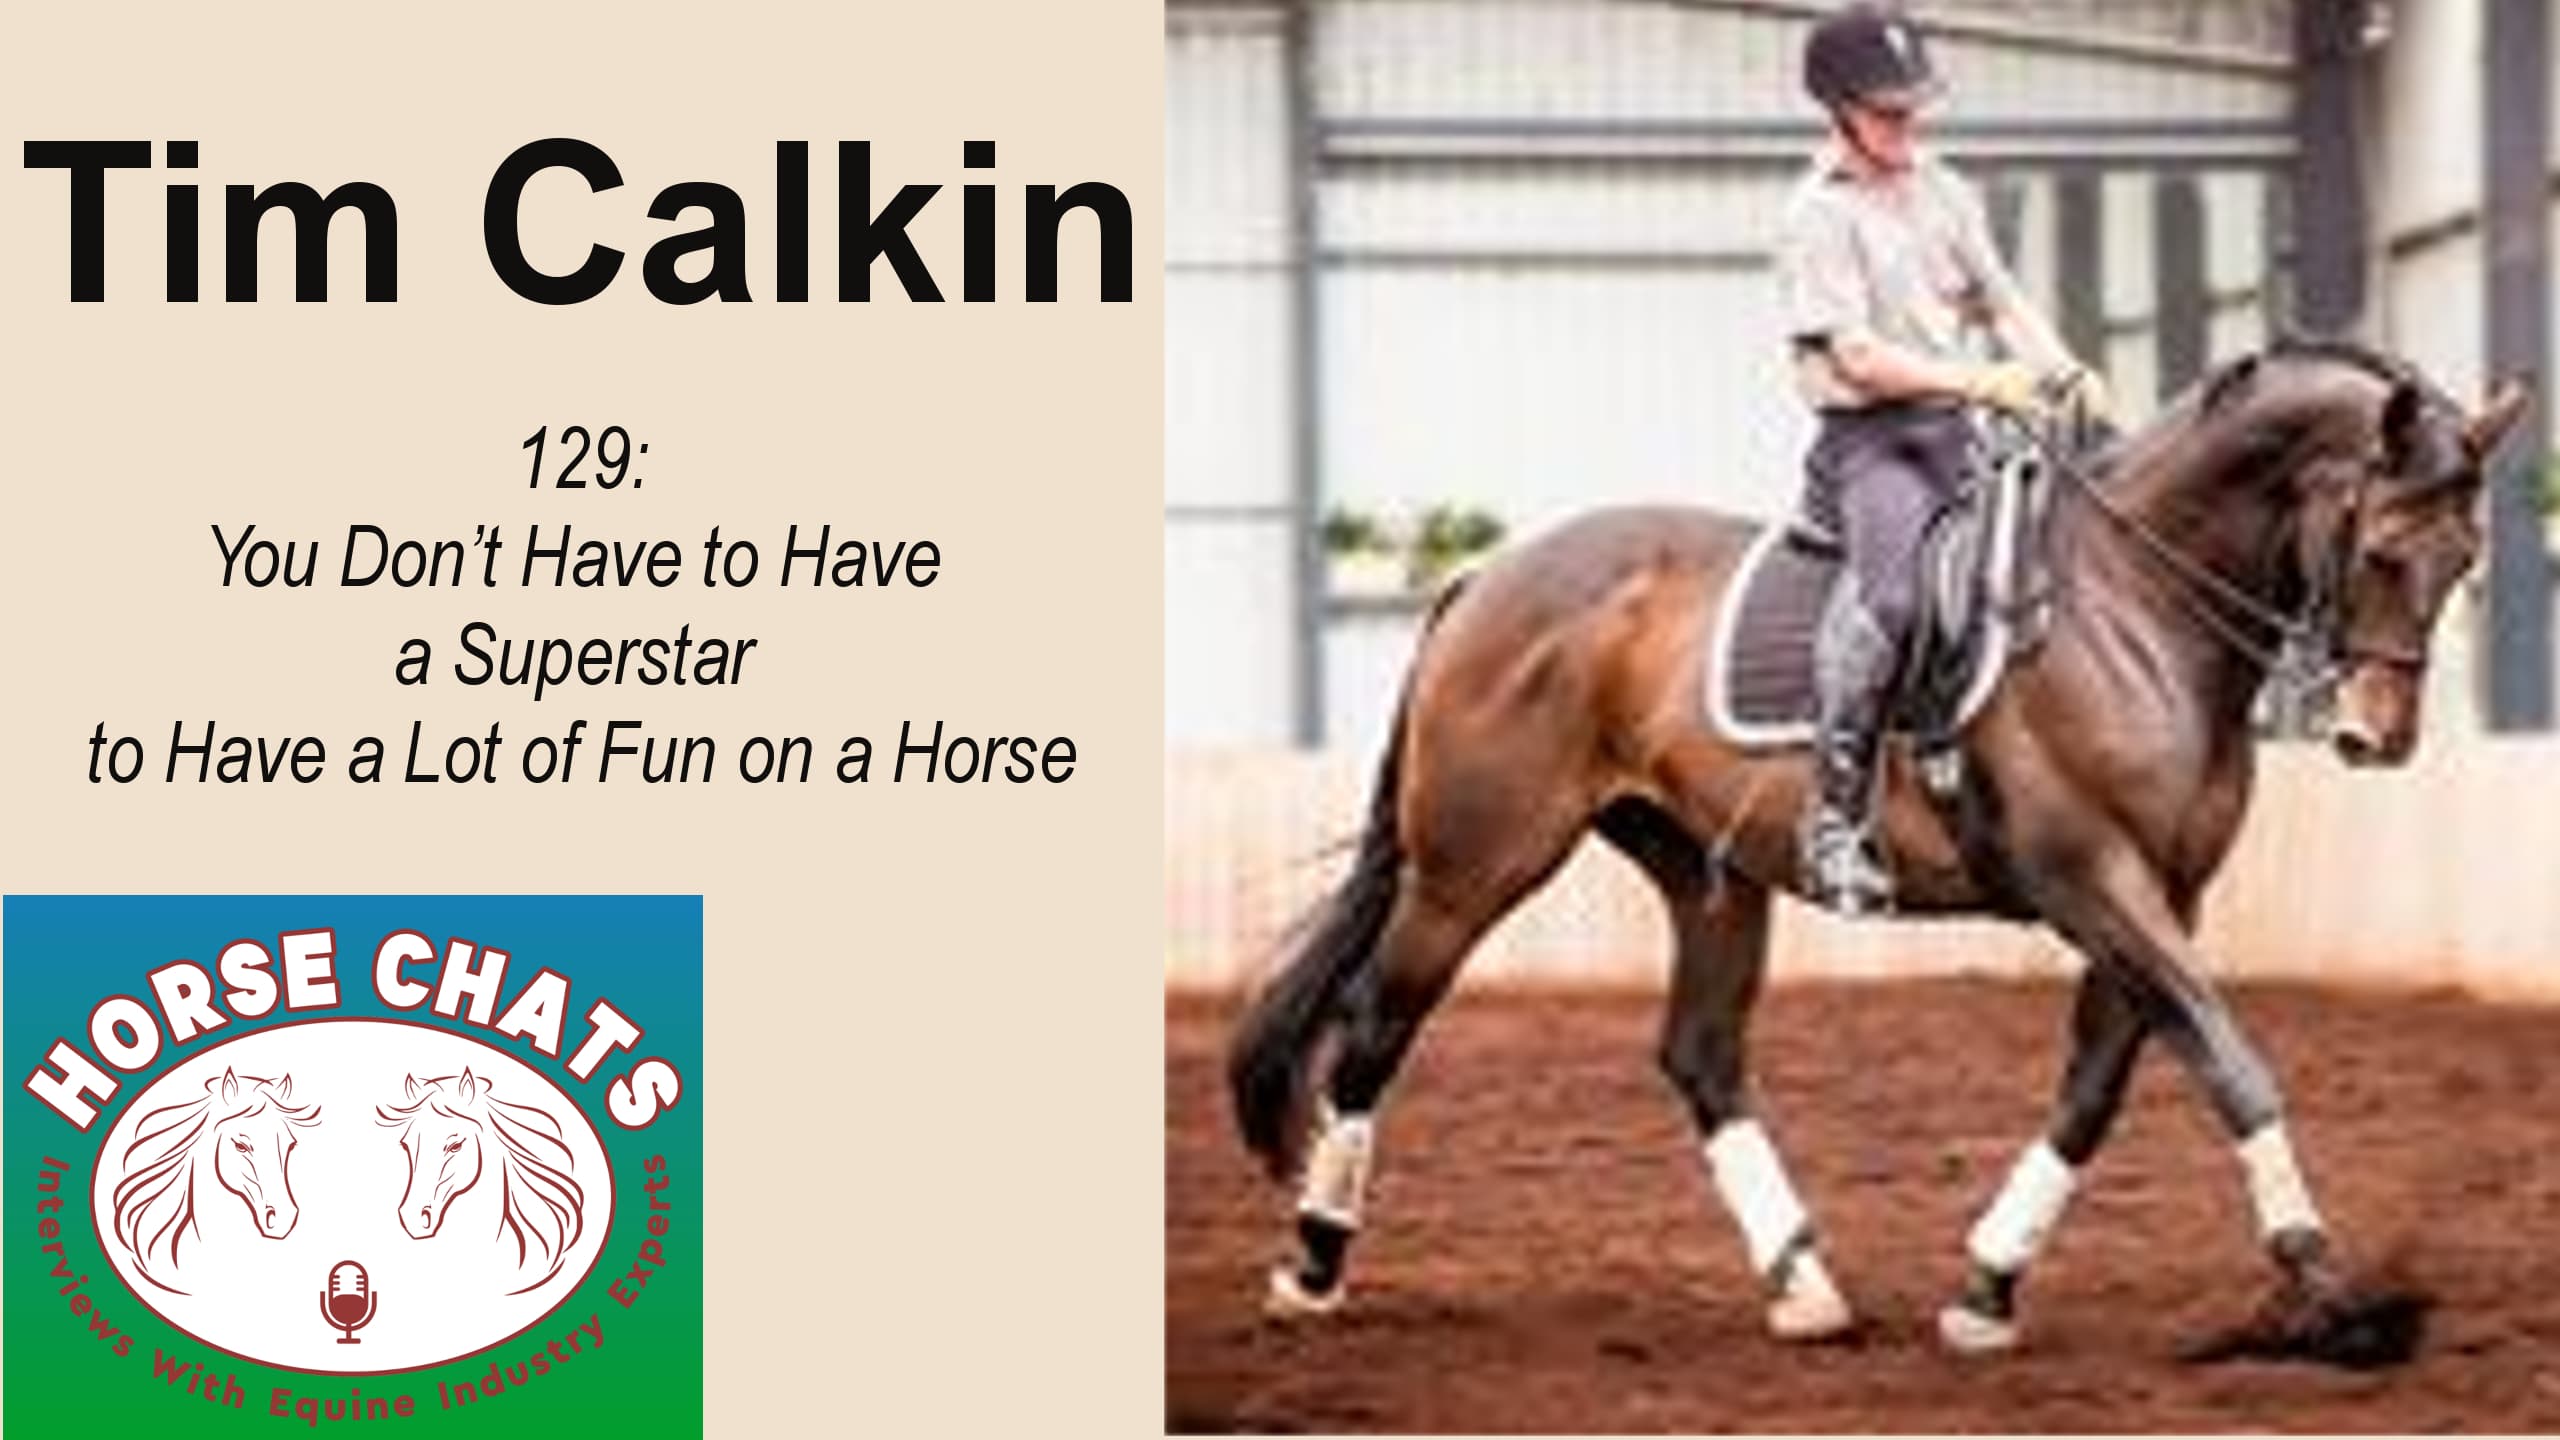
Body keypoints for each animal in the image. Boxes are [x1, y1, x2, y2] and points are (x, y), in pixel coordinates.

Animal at [1229, 337, 2530, 1361]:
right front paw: (2328, 1289)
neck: (2132, 610)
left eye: (2464, 559)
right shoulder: (2092, 882)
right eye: (2382, 550)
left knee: (1699, 1055)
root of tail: (1485, 576)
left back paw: (1804, 1289)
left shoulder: (2160, 893)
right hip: (1474, 865)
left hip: (1707, 874)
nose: (2374, 736)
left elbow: (2097, 1088)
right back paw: (1313, 1268)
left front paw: (1988, 1288)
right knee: (1375, 1027)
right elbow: (2228, 1060)